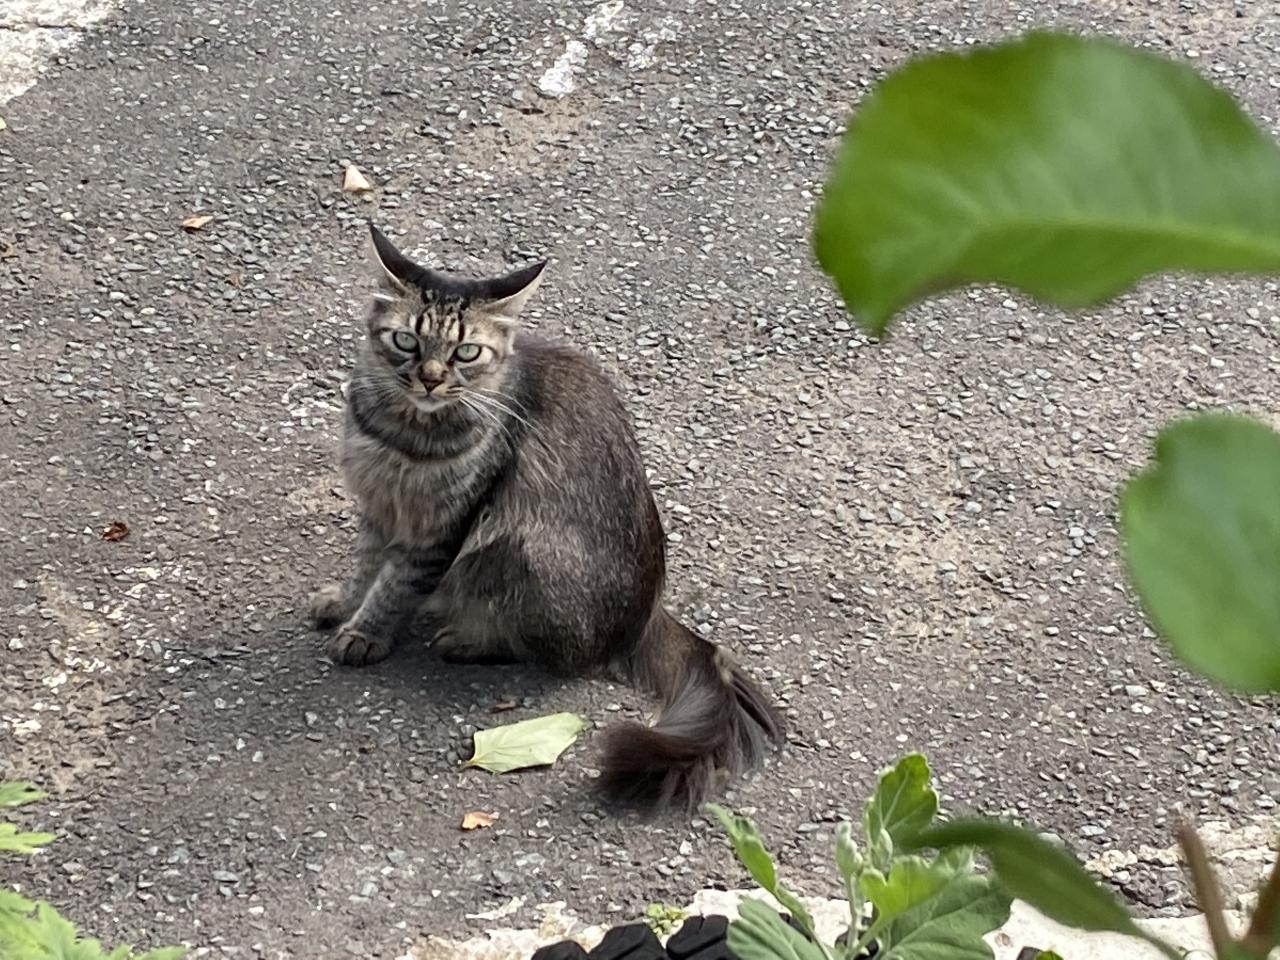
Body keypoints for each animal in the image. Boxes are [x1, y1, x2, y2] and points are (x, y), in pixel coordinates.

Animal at [310, 223, 783, 809]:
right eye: (407, 342)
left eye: (466, 352)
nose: (431, 379)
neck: (404, 435)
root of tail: (647, 614)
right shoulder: (378, 504)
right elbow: (366, 566)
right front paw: (344, 604)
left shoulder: (443, 526)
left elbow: (395, 583)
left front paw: (366, 633)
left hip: (519, 548)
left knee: (551, 654)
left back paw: (466, 640)